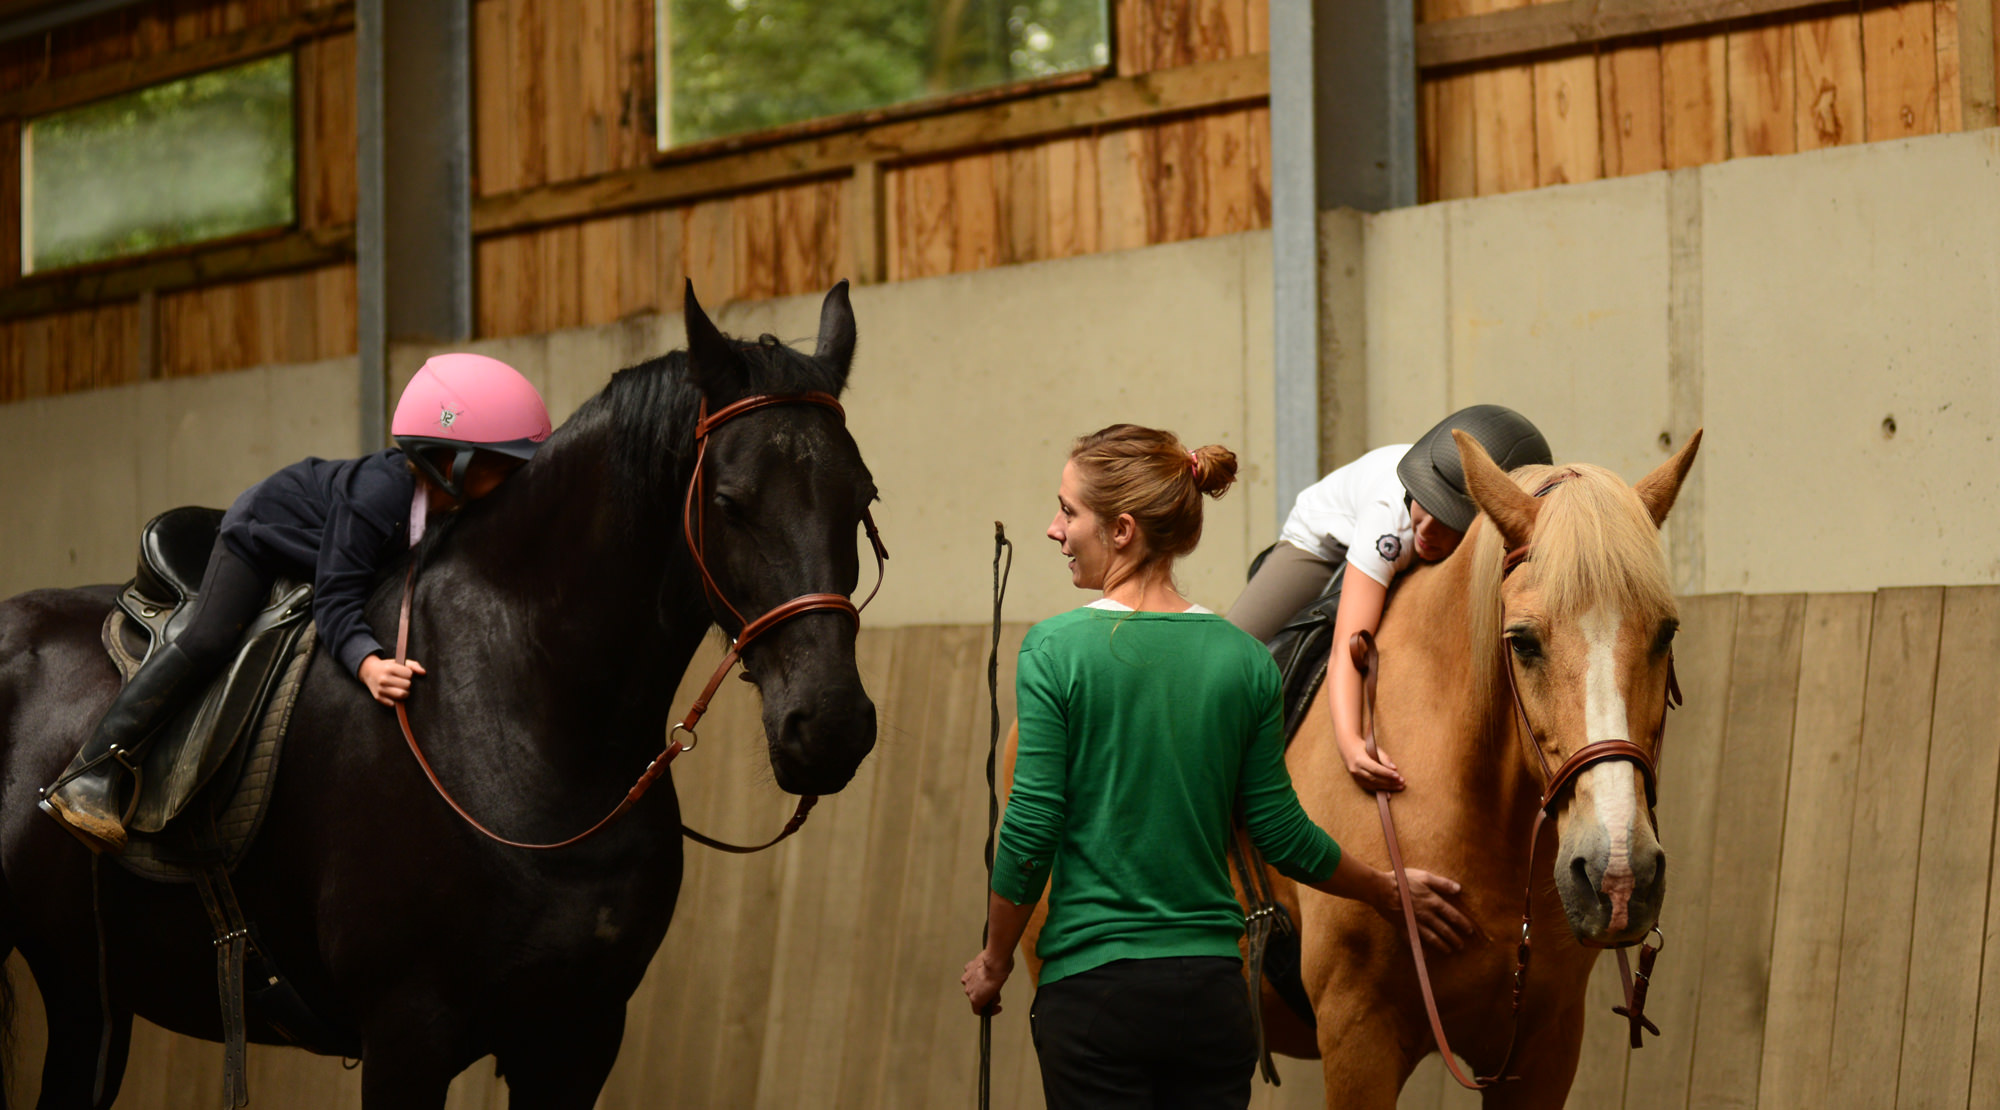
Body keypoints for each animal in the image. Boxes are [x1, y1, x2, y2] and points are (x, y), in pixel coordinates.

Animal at [0, 282, 884, 1104]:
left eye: (863, 497)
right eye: (730, 503)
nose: (832, 728)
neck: (531, 710)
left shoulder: (580, 1035)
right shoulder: (410, 1034)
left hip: (87, 995)